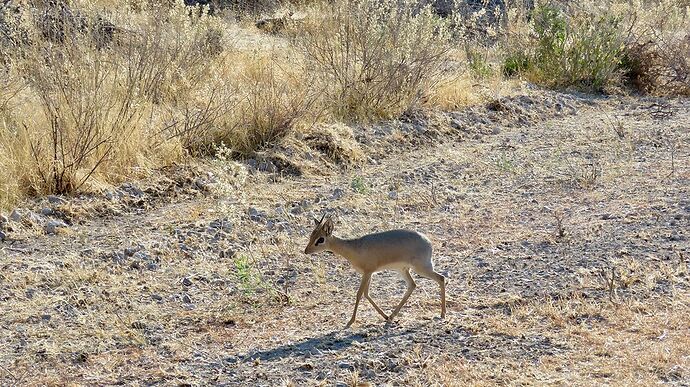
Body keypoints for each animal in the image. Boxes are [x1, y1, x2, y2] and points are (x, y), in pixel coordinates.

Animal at [302, 215, 444, 328]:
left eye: (320, 239)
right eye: (311, 235)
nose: (306, 251)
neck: (354, 247)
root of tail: (428, 241)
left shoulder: (367, 273)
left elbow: (359, 294)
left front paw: (350, 322)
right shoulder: (369, 273)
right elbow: (366, 294)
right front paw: (385, 316)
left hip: (421, 268)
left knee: (441, 278)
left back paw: (442, 314)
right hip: (403, 270)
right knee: (412, 285)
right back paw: (392, 316)